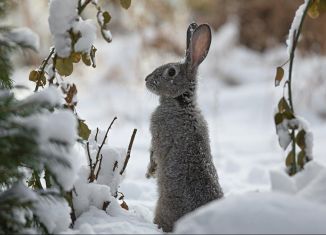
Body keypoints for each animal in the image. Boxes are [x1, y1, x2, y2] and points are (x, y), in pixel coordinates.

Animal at [145, 23, 224, 232]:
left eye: (171, 72)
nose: (146, 79)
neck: (181, 103)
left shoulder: (158, 134)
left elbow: (153, 154)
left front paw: (150, 172)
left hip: (163, 206)